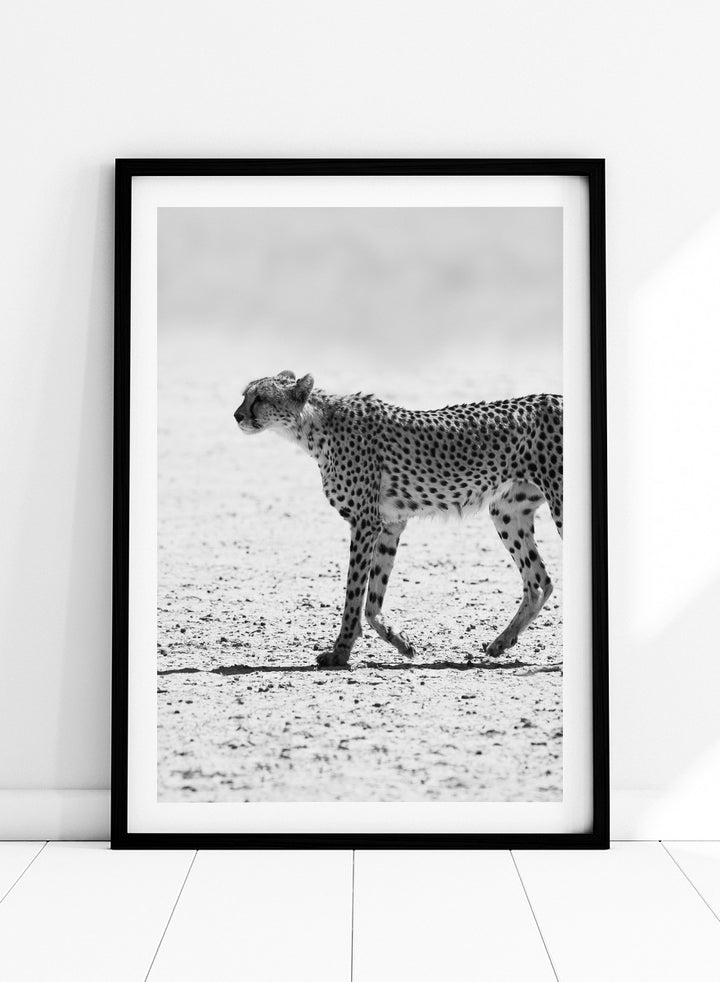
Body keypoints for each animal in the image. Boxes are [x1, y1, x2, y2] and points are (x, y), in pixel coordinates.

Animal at [234, 370, 562, 668]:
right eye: (245, 395)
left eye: (260, 398)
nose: (237, 416)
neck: (314, 424)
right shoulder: (390, 524)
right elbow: (372, 598)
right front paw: (400, 641)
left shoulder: (365, 522)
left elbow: (354, 594)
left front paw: (340, 652)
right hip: (506, 511)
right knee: (539, 581)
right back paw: (501, 642)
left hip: (557, 505)